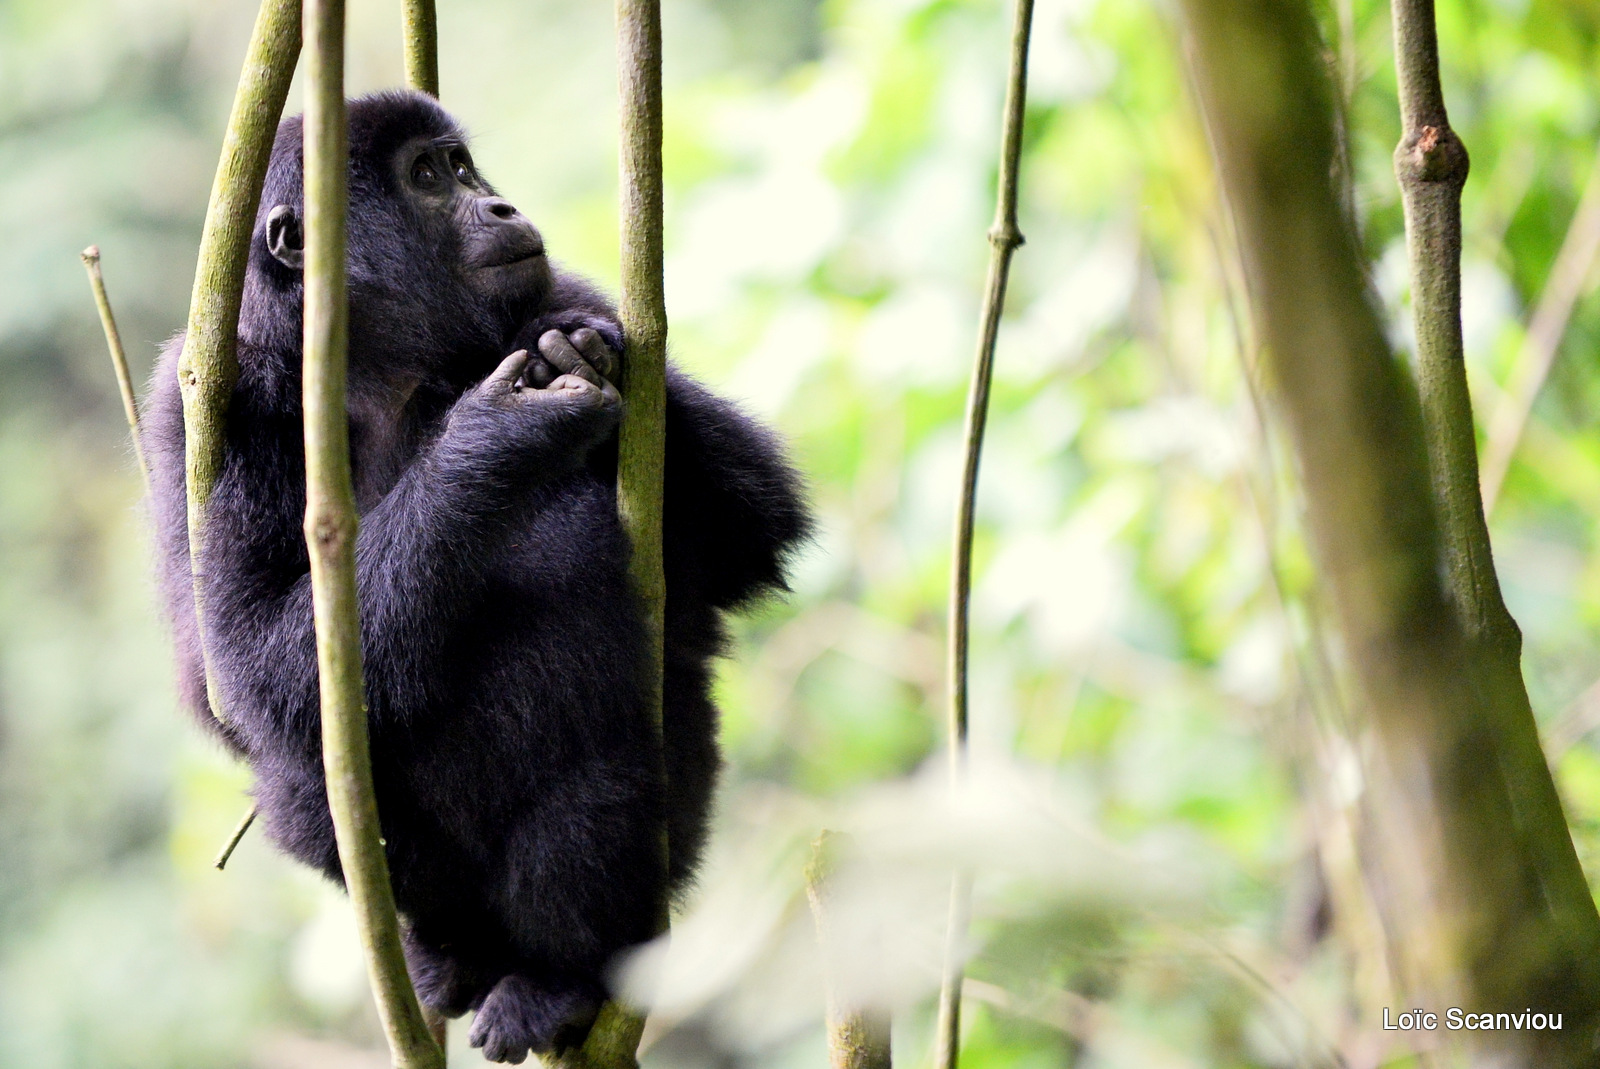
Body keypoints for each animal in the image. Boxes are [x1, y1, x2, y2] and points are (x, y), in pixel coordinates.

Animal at [144, 89, 806, 1062]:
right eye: (428, 176)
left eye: (462, 167)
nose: (499, 204)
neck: (373, 366)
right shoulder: (202, 404)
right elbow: (236, 672)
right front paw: (497, 435)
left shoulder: (565, 289)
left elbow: (752, 534)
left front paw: (567, 353)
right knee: (306, 774)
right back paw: (452, 951)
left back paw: (565, 973)